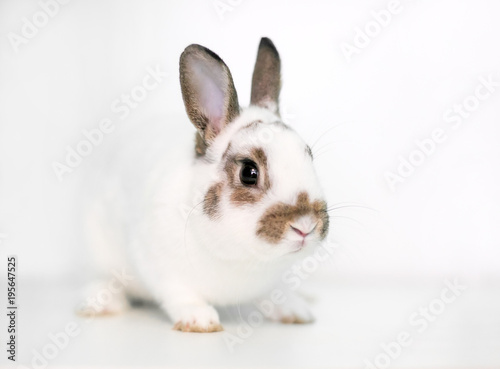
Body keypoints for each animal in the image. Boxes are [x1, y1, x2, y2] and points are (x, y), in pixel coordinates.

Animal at [80, 38, 330, 334]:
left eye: (309, 155)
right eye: (249, 172)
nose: (306, 225)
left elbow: (275, 294)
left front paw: (296, 312)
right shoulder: (159, 266)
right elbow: (179, 294)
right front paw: (199, 320)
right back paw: (100, 303)